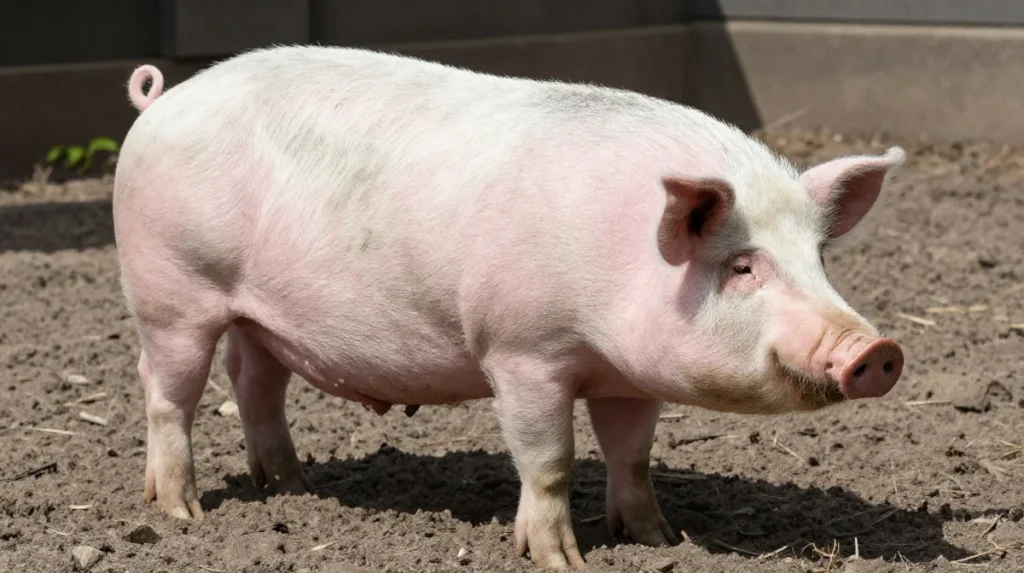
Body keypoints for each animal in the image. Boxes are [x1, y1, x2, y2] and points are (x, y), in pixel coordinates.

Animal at [113, 45, 905, 569]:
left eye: (819, 258)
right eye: (741, 266)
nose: (876, 351)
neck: (622, 260)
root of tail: (163, 99)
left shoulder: (629, 377)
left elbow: (633, 453)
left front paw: (658, 539)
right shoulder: (522, 351)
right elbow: (549, 458)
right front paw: (560, 560)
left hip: (258, 316)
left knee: (255, 386)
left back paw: (294, 489)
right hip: (173, 288)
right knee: (166, 392)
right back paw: (181, 512)